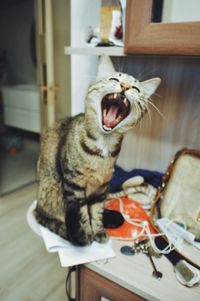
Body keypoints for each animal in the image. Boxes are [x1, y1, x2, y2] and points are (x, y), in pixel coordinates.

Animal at [33, 55, 160, 244]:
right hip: (50, 193)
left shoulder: (102, 188)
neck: (103, 146)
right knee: (44, 216)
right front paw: (86, 234)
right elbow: (83, 213)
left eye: (136, 88)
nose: (125, 86)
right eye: (115, 79)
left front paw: (98, 230)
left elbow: (97, 211)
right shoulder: (74, 186)